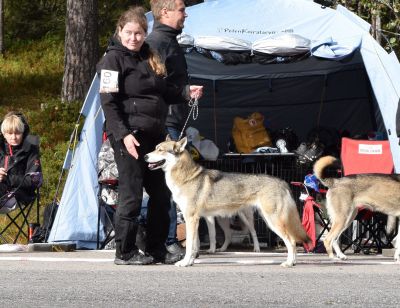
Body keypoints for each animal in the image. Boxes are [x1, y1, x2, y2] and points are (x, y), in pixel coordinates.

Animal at [145, 137, 310, 268]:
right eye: (155, 148)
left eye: (160, 150)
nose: (145, 156)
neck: (186, 178)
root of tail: (282, 182)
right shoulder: (196, 219)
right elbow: (194, 246)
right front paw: (190, 262)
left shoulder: (191, 219)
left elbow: (190, 246)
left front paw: (184, 263)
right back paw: (293, 262)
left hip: (270, 221)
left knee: (291, 241)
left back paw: (288, 263)